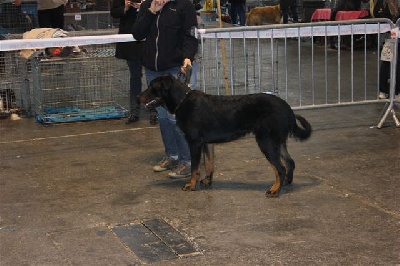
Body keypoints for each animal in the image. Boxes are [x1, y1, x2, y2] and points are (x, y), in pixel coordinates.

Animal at [139, 75, 310, 197]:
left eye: (151, 87)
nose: (137, 98)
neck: (182, 101)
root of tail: (287, 107)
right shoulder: (207, 143)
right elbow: (209, 164)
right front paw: (207, 180)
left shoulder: (194, 143)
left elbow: (195, 168)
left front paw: (191, 185)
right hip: (277, 141)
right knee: (289, 162)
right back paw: (286, 182)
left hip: (266, 141)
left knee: (280, 168)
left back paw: (274, 190)